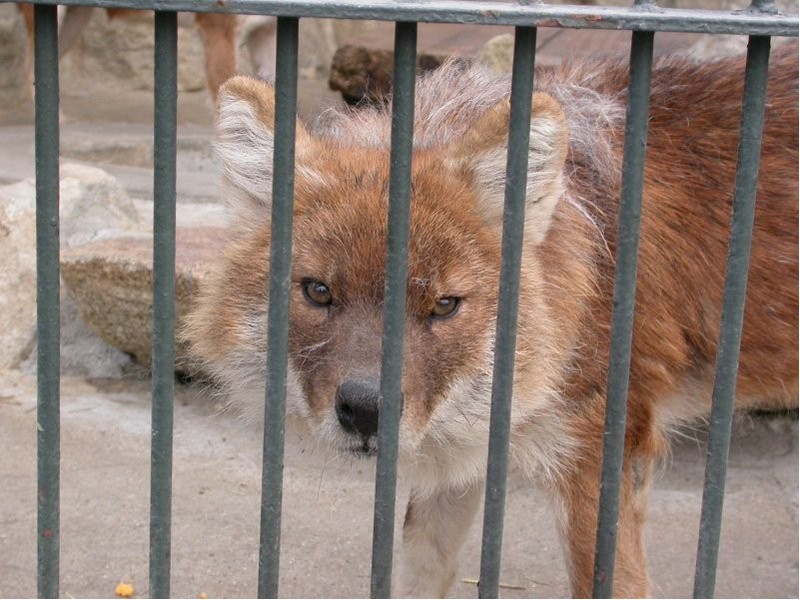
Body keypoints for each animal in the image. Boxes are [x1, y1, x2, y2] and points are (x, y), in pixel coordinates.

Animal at [184, 43, 796, 600]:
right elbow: (421, 569)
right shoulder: (468, 454)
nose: (366, 411)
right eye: (318, 292)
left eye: (445, 305)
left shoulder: (604, 460)